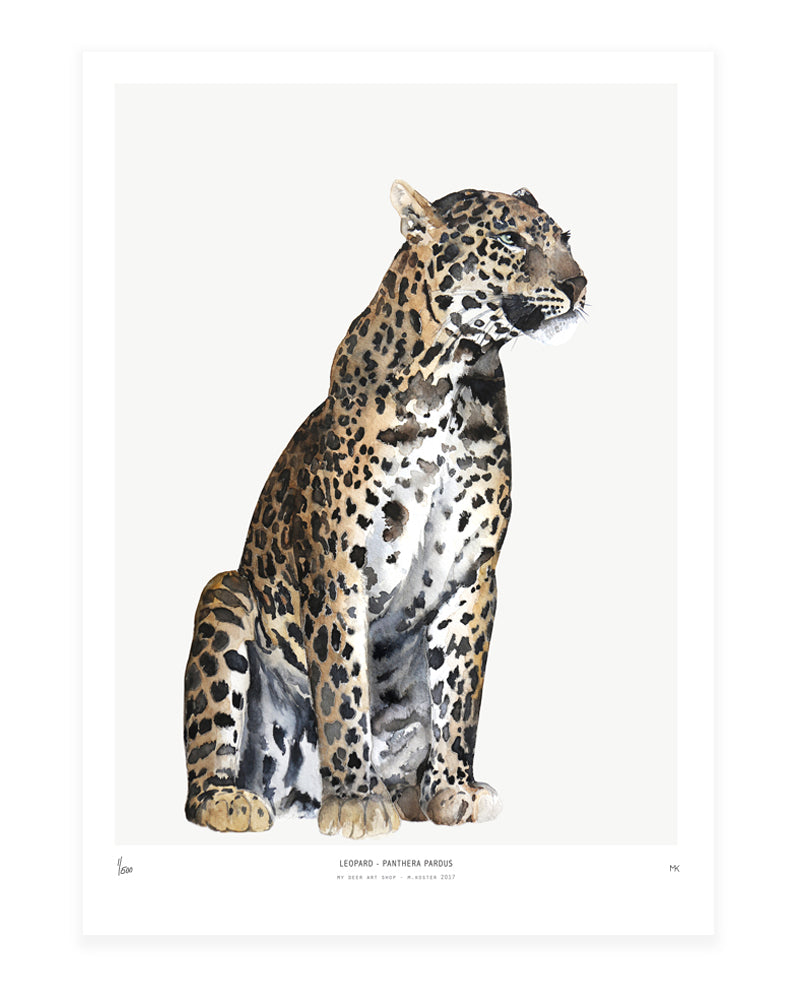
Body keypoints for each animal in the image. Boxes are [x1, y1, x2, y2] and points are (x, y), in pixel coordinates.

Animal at [183, 180, 586, 838]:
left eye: (565, 239)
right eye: (508, 239)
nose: (579, 283)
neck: (455, 379)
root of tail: (294, 793)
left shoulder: (472, 574)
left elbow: (460, 694)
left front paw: (453, 789)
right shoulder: (338, 570)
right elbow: (343, 690)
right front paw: (355, 802)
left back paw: (407, 793)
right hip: (226, 592)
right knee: (208, 767)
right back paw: (238, 801)